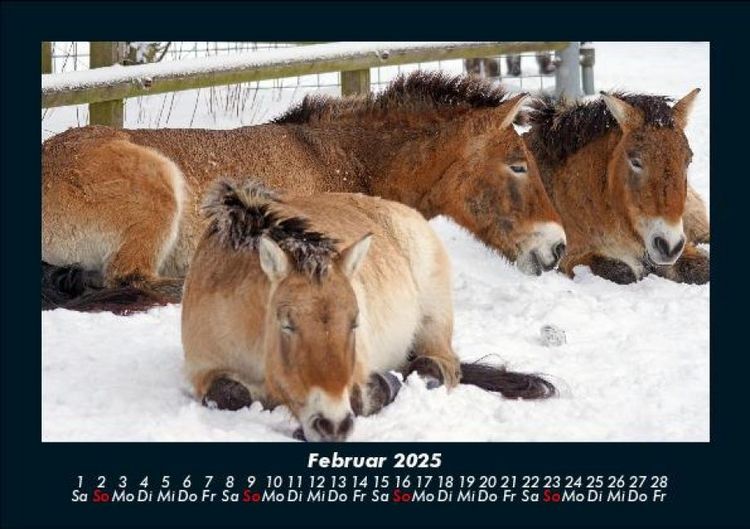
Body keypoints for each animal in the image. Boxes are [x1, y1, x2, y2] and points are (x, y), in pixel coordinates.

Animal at [181, 178, 556, 442]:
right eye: (286, 324)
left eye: (355, 322)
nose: (331, 425)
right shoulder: (204, 371)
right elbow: (229, 394)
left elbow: (362, 397)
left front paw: (385, 385)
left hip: (434, 319)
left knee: (438, 365)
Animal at [524, 90, 710, 284]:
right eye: (636, 161)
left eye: (688, 160)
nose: (669, 246)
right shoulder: (570, 256)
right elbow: (621, 271)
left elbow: (702, 268)